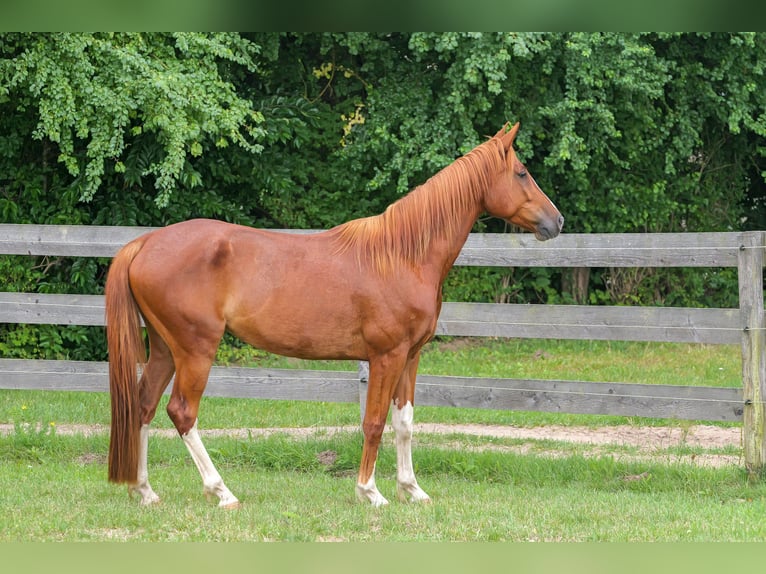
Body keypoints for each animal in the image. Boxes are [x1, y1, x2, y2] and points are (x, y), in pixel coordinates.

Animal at [105, 122, 563, 508]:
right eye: (522, 172)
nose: (556, 221)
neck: (401, 255)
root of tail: (144, 243)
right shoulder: (386, 357)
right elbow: (375, 422)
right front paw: (370, 493)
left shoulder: (411, 357)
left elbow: (405, 422)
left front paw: (412, 490)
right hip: (196, 349)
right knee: (182, 412)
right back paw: (222, 492)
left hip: (165, 349)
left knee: (143, 407)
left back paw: (144, 491)